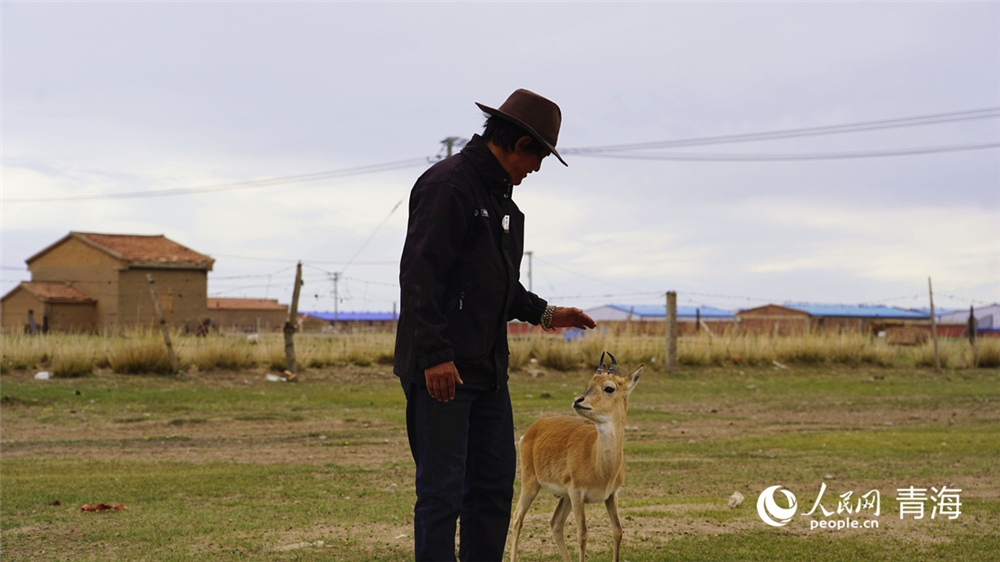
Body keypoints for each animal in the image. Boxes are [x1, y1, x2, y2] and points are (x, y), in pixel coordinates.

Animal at [509, 352, 643, 562]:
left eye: (609, 387)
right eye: (589, 383)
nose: (578, 400)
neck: (600, 465)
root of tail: (535, 426)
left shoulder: (612, 495)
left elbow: (618, 531)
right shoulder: (577, 494)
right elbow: (583, 535)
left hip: (563, 498)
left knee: (555, 523)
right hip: (531, 484)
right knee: (517, 519)